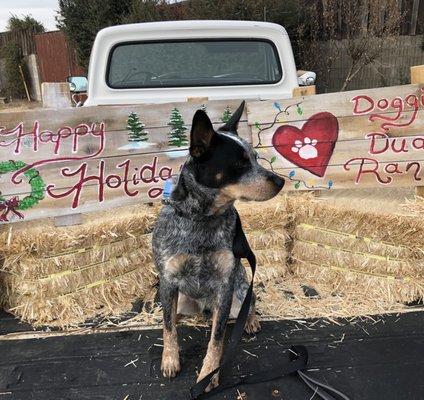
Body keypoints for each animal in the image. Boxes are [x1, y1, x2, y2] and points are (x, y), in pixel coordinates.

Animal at [152, 101, 284, 392]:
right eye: (240, 162)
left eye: (255, 157)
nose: (280, 181)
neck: (202, 219)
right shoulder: (167, 280)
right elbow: (168, 328)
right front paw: (170, 360)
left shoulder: (225, 284)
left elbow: (218, 338)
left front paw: (208, 375)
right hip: (182, 299)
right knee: (175, 315)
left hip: (241, 287)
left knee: (248, 302)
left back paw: (250, 321)